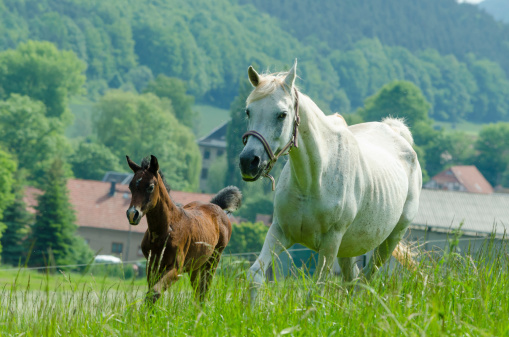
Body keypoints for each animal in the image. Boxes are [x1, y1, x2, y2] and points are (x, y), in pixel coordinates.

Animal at [125, 155, 240, 302]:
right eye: (131, 186)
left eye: (150, 187)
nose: (132, 214)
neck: (165, 230)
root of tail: (216, 205)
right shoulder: (152, 265)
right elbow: (151, 293)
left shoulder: (176, 268)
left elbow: (155, 292)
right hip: (196, 266)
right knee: (198, 293)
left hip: (213, 261)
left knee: (204, 292)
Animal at [238, 59, 420, 300]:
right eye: (248, 111)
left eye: (282, 114)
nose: (249, 161)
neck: (314, 181)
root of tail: (397, 134)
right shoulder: (280, 232)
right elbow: (255, 276)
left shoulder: (330, 243)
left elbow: (316, 290)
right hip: (349, 247)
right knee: (353, 280)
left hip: (388, 241)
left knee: (364, 282)